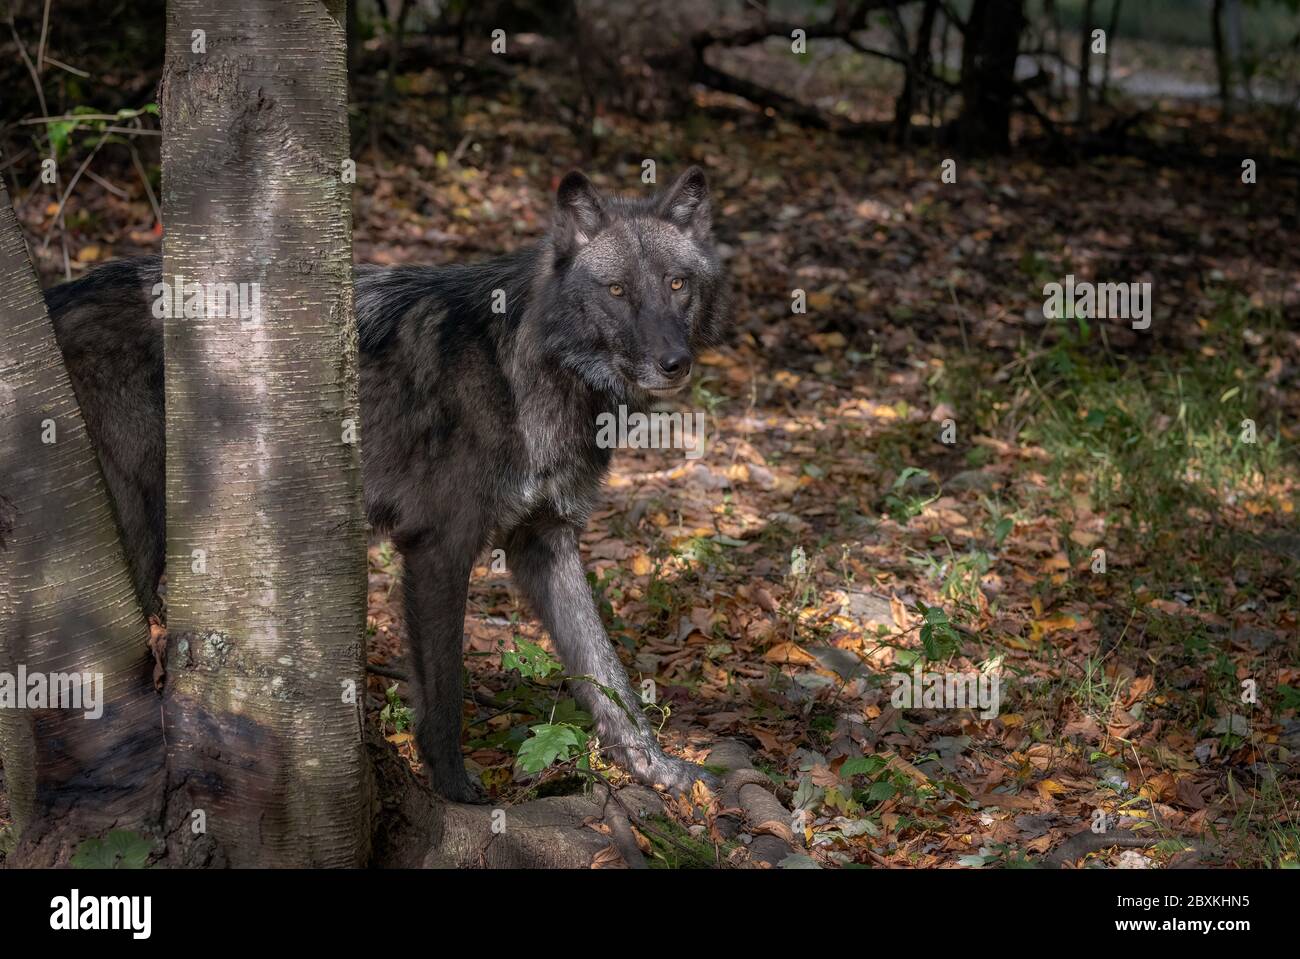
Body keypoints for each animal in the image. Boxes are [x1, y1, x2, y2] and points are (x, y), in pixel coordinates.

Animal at [43, 166, 733, 800]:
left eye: (677, 285)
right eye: (616, 290)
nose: (674, 363)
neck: (531, 371)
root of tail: (55, 299)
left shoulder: (545, 541)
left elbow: (606, 673)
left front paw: (658, 770)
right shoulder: (437, 547)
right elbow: (446, 688)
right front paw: (455, 791)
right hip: (135, 532)